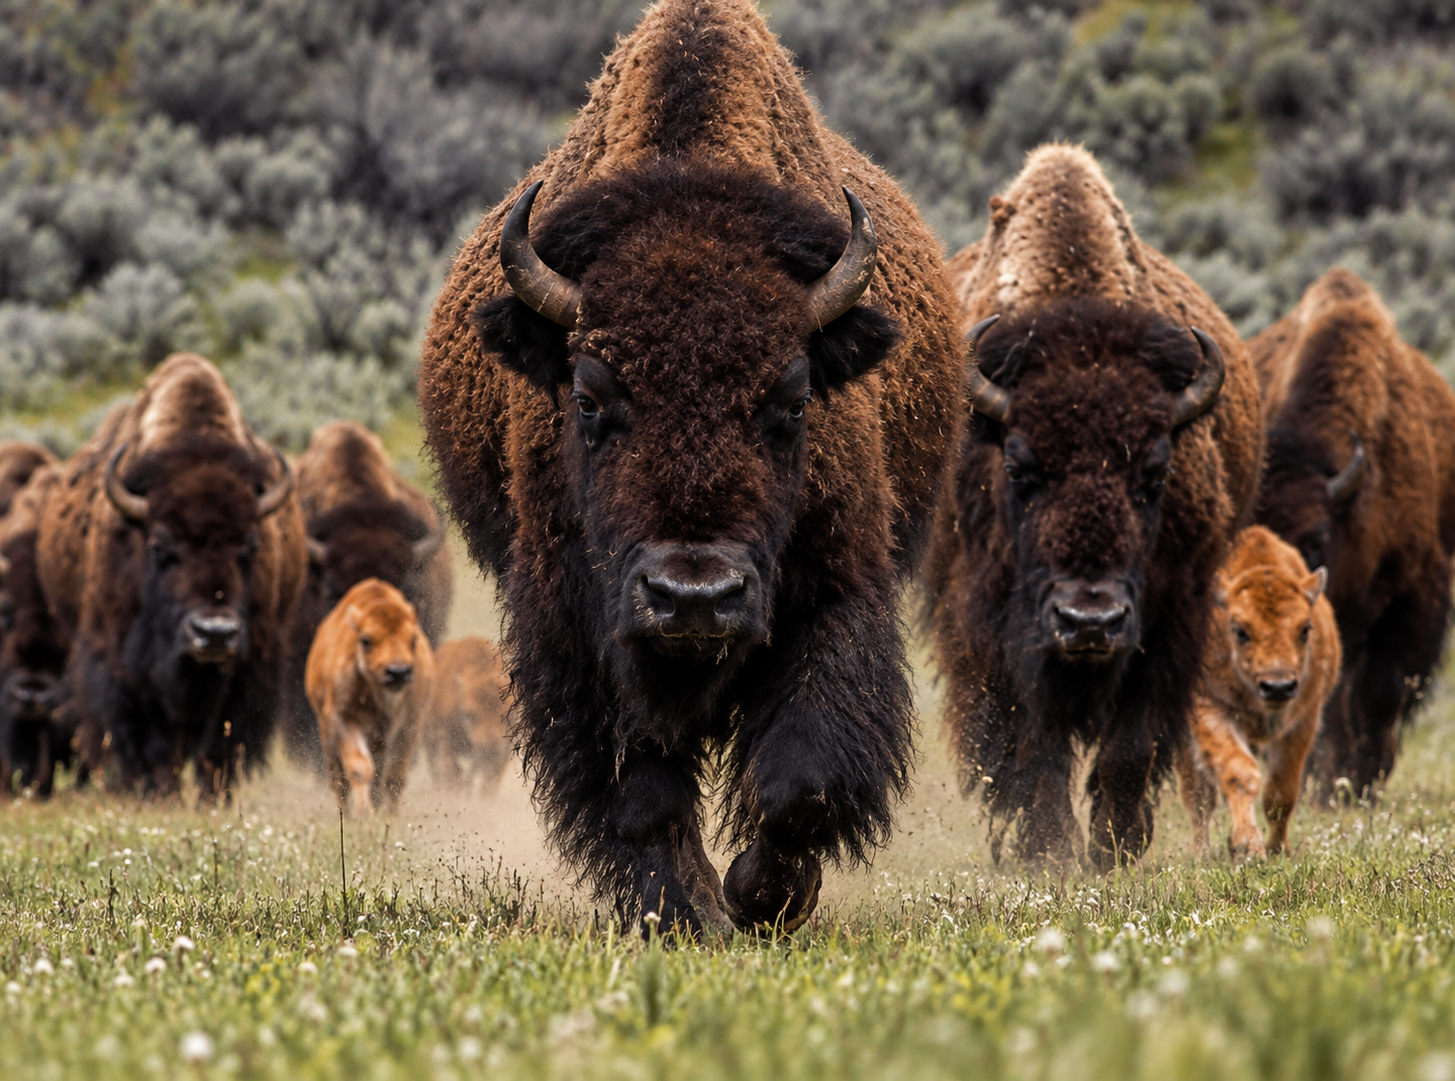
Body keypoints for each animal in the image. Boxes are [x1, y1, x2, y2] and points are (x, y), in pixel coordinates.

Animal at [36, 353, 306, 796]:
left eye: (251, 546)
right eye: (159, 547)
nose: (214, 633)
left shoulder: (249, 669)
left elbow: (218, 747)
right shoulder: (122, 669)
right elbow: (152, 742)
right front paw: (159, 794)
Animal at [417, 0, 962, 933]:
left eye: (793, 399)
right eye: (588, 397)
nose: (694, 596)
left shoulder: (833, 591)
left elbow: (801, 779)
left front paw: (762, 897)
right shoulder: (580, 627)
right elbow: (642, 792)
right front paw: (685, 911)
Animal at [926, 145, 1263, 868]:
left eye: (1156, 471)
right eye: (1019, 468)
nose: (1089, 620)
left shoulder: (1170, 615)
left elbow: (1130, 744)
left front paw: (1113, 848)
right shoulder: (990, 624)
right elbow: (1031, 743)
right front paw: (1049, 851)